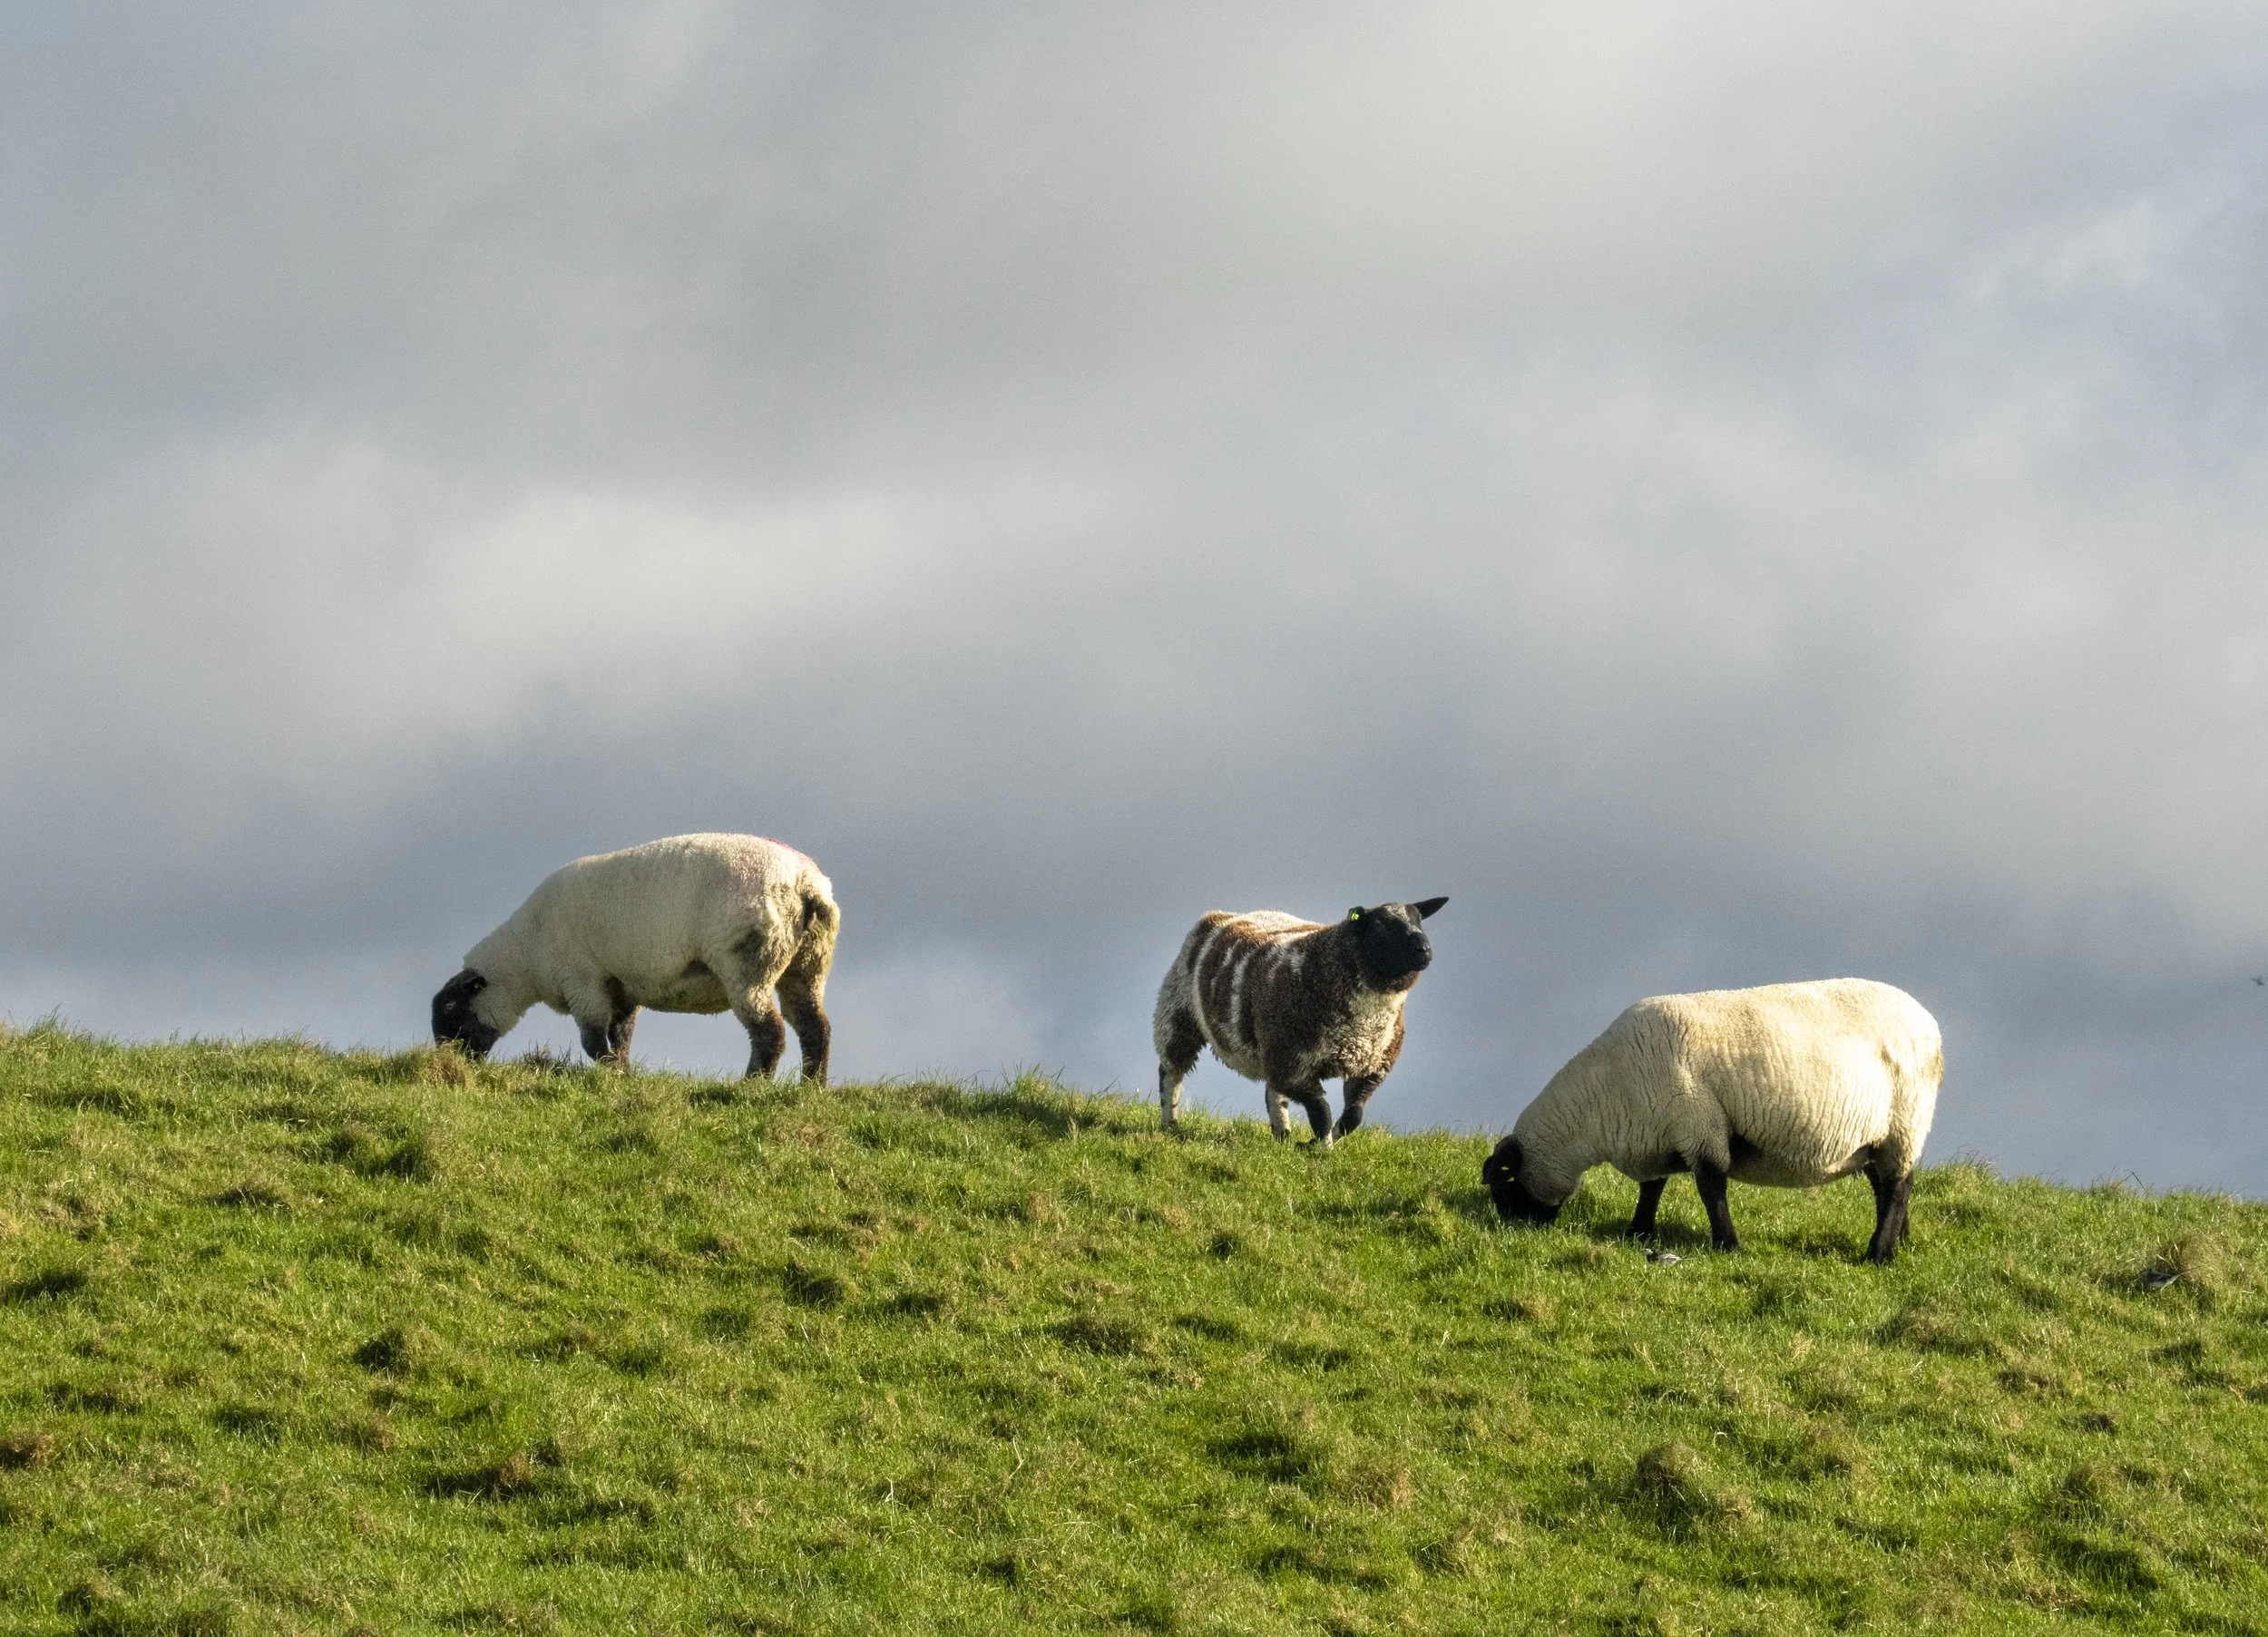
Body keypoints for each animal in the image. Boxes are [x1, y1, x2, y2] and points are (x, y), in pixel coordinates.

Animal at [431, 833, 839, 1080]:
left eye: (451, 1008)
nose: (448, 1061)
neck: (527, 952)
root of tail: (806, 884)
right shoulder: (622, 985)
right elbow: (621, 1034)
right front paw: (623, 1073)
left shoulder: (584, 981)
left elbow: (593, 1040)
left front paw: (609, 1072)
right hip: (807, 963)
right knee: (814, 1026)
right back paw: (810, 1086)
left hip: (747, 963)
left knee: (770, 1031)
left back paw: (753, 1083)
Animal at [1153, 897, 1447, 1146]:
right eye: (1380, 925)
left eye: (1419, 920)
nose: (1424, 950)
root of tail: (1221, 914)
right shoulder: (1295, 1065)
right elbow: (1321, 1112)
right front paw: (1321, 1148)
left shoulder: (1372, 1066)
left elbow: (1353, 1116)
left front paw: (1324, 1141)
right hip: (1178, 1012)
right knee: (1171, 1071)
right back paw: (1170, 1123)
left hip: (1271, 1047)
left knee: (1273, 1093)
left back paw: (1282, 1135)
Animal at [1481, 978, 1942, 1263]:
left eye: (1504, 1185)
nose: (1511, 1231)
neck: (1606, 1096)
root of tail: (1928, 1022)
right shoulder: (1658, 1134)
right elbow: (1652, 1188)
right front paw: (1638, 1233)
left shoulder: (1700, 1126)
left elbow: (1710, 1189)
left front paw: (1728, 1246)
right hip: (1877, 1136)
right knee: (1888, 1186)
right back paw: (1898, 1243)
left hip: (1907, 1121)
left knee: (1898, 1186)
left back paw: (1877, 1256)